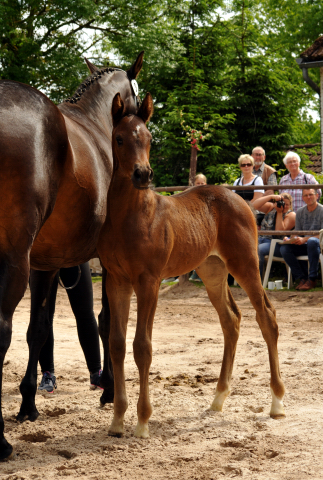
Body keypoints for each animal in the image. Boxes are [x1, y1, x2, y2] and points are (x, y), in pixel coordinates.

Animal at [97, 93, 284, 438]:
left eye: (149, 138)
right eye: (119, 138)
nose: (143, 174)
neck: (130, 216)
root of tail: (244, 200)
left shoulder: (149, 281)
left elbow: (142, 346)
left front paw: (143, 421)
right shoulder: (116, 280)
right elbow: (116, 343)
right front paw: (117, 420)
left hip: (245, 264)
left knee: (266, 316)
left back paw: (277, 402)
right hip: (212, 272)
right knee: (231, 320)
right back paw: (218, 398)